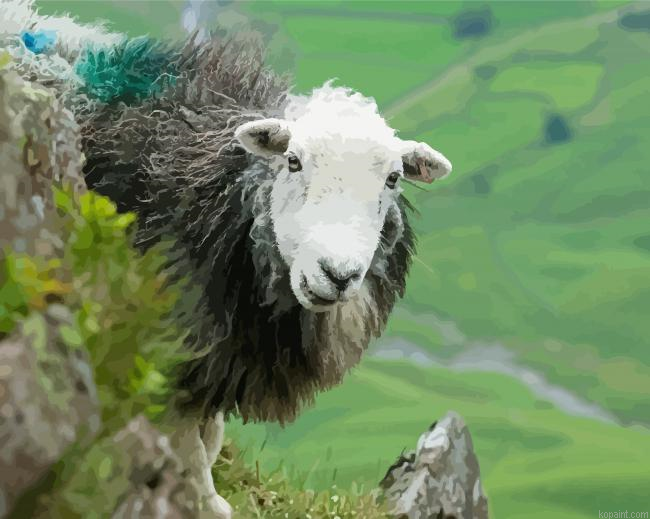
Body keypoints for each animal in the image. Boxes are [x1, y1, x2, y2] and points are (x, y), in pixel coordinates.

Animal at [1, 2, 453, 517]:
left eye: (394, 179)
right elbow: (189, 443)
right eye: (293, 161)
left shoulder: (221, 350)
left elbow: (211, 433)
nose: (338, 275)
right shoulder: (170, 337)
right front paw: (201, 499)